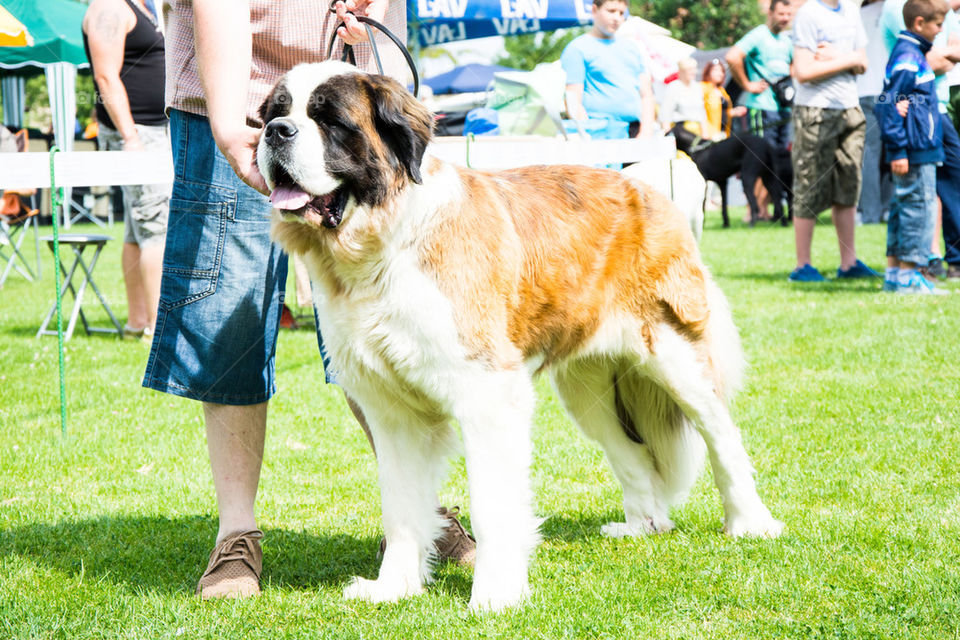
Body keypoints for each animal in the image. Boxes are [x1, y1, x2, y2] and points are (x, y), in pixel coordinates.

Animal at [258, 62, 784, 612]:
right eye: (274, 113)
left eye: (330, 121)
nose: (276, 132)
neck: (380, 247)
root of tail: (645, 183)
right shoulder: (393, 413)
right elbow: (401, 506)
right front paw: (394, 587)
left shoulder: (487, 393)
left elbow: (492, 503)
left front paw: (495, 593)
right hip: (586, 387)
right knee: (633, 451)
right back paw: (642, 526)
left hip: (674, 352)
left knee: (722, 434)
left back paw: (750, 522)